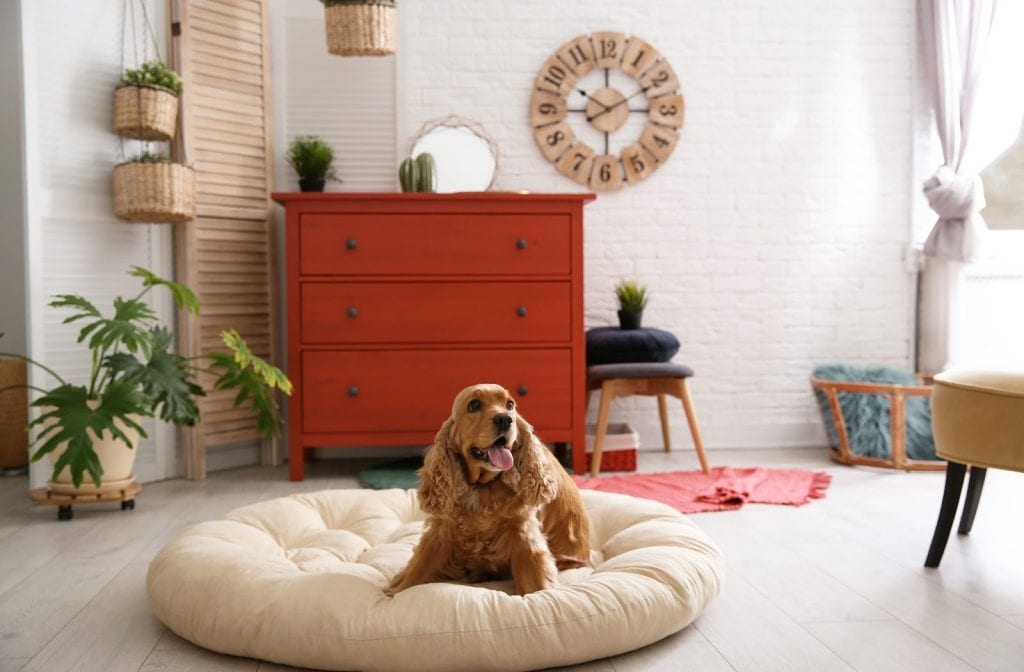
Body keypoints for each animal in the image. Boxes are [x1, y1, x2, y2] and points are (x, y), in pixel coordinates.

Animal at [385, 383, 593, 594]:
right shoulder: (442, 530)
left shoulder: (523, 533)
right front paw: (395, 591)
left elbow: (533, 582)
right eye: (474, 405)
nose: (505, 419)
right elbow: (419, 567)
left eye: (510, 404)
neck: (481, 487)